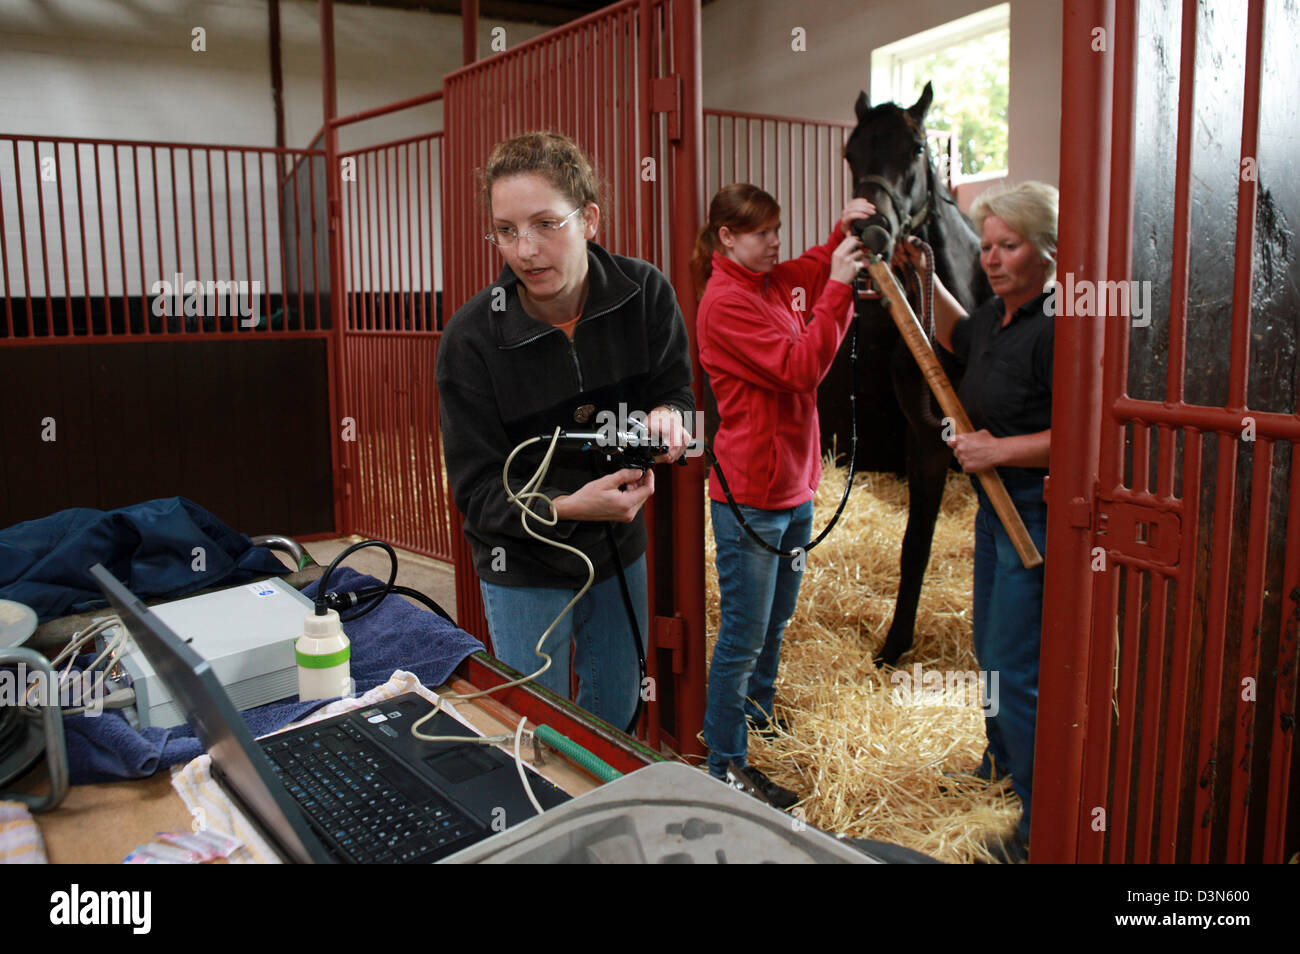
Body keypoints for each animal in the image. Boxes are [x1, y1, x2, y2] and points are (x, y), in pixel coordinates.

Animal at [826, 82, 987, 670]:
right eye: (851, 152)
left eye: (918, 148)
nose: (870, 229)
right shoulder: (928, 438)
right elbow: (914, 544)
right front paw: (895, 644)